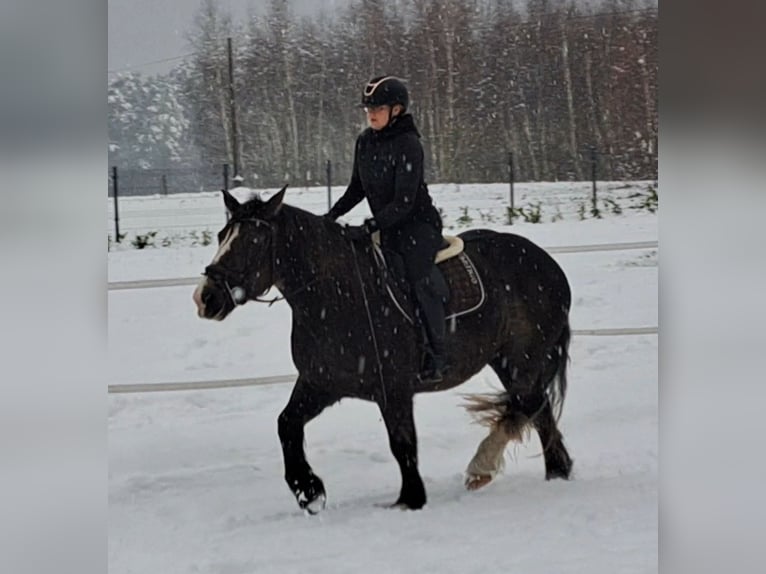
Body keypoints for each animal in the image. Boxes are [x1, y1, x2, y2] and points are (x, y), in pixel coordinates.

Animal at [193, 185, 573, 513]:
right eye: (221, 236)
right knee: (537, 410)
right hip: (509, 362)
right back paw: (555, 471)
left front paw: (411, 500)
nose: (206, 298)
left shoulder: (394, 390)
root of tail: (548, 264)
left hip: (521, 360)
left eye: (254, 240)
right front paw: (309, 492)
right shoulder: (321, 383)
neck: (337, 294)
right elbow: (287, 424)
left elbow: (402, 443)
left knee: (530, 405)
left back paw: (488, 465)